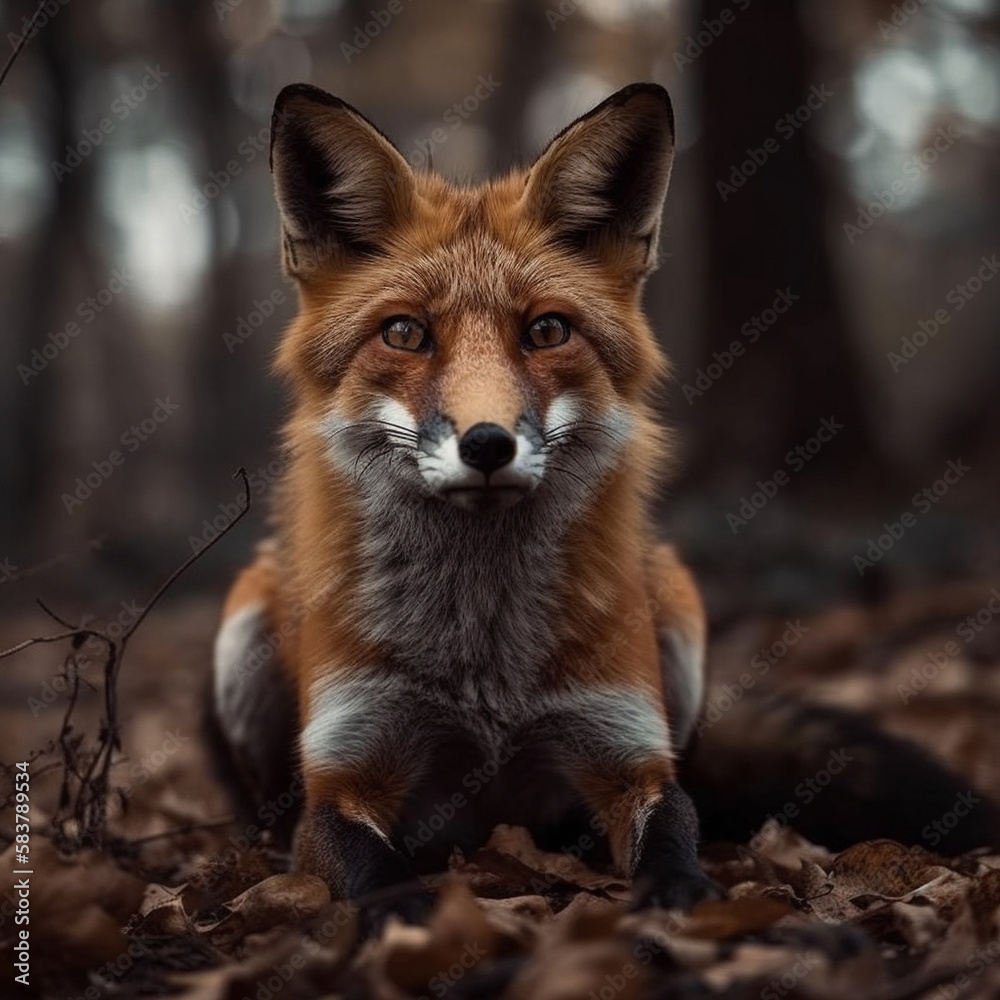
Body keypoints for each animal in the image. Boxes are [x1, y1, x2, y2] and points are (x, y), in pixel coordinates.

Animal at [208, 82, 999, 927]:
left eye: (547, 329)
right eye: (406, 333)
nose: (487, 443)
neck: (486, 668)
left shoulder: (626, 752)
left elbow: (671, 830)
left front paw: (685, 900)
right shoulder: (343, 774)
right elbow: (372, 870)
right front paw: (418, 921)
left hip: (679, 616)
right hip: (239, 631)